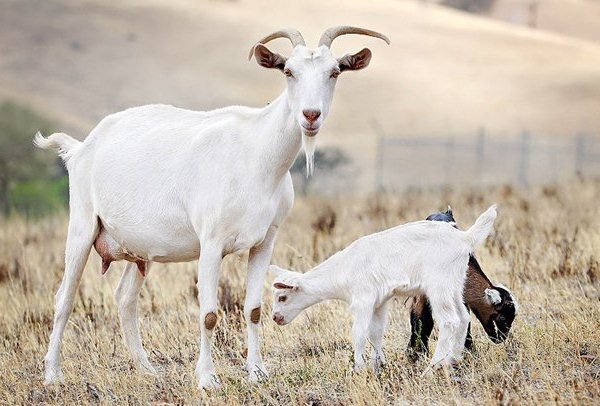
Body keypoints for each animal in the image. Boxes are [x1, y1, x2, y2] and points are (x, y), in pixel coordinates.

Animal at [34, 26, 390, 390]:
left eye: (334, 72)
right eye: (288, 71)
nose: (311, 115)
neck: (257, 155)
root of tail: (80, 148)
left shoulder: (265, 241)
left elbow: (253, 309)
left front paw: (257, 371)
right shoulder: (211, 242)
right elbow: (208, 314)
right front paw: (207, 379)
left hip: (140, 251)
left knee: (124, 299)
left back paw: (147, 370)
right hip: (82, 224)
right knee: (64, 298)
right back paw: (52, 374)